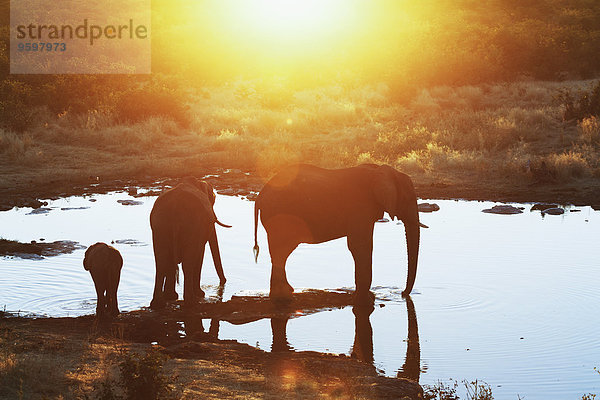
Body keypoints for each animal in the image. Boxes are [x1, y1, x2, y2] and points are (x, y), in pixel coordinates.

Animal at [151, 176, 231, 310]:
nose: (224, 281)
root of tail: (175, 208)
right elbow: (199, 255)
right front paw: (200, 294)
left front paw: (171, 297)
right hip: (191, 227)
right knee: (187, 263)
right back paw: (191, 302)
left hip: (160, 228)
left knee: (161, 261)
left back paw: (158, 304)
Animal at [253, 164, 426, 304]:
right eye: (408, 198)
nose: (403, 293)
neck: (380, 171)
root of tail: (260, 196)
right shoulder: (360, 206)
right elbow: (360, 246)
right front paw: (366, 300)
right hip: (280, 218)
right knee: (281, 252)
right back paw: (283, 298)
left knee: (279, 254)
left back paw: (286, 293)